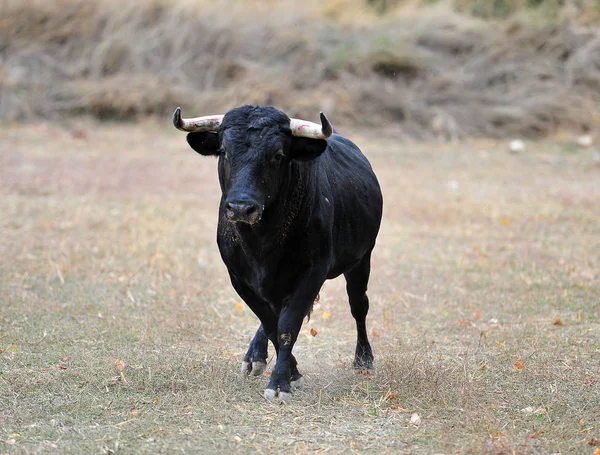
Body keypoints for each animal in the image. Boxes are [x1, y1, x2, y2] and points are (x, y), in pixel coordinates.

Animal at [177, 106, 384, 402]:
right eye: (224, 151)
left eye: (277, 155)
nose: (241, 208)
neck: (262, 242)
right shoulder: (239, 278)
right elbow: (270, 322)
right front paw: (291, 373)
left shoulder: (312, 274)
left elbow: (287, 326)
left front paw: (280, 383)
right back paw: (255, 356)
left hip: (361, 259)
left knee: (359, 306)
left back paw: (363, 359)